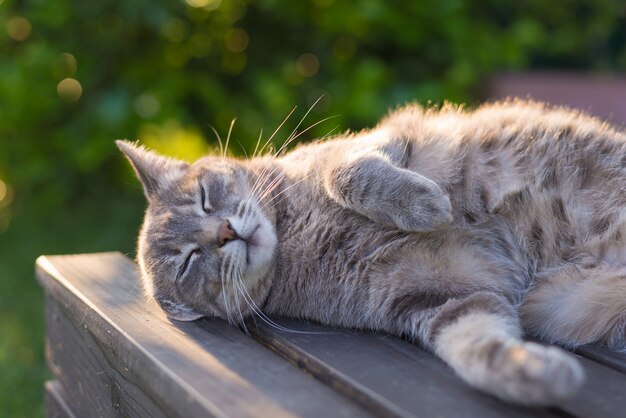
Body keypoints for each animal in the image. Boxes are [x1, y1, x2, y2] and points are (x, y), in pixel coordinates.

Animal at [116, 99, 624, 406]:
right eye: (189, 260)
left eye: (204, 197)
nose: (223, 233)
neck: (296, 236)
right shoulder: (443, 298)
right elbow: (477, 349)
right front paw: (536, 375)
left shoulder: (369, 140)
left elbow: (345, 172)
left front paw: (423, 204)